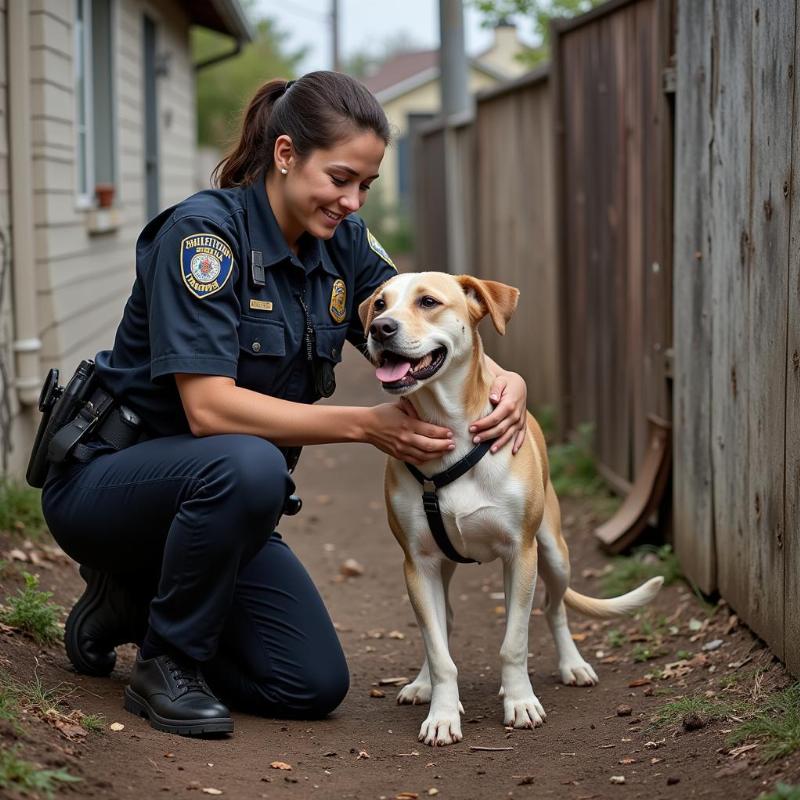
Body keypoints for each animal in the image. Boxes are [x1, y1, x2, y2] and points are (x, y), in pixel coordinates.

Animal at [360, 276, 664, 752]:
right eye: (378, 304)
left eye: (428, 301)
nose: (381, 329)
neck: (452, 435)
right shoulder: (418, 563)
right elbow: (439, 650)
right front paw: (442, 714)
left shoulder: (521, 554)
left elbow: (514, 642)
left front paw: (520, 703)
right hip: (440, 569)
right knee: (441, 624)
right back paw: (424, 684)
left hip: (554, 554)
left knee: (553, 609)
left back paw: (572, 665)